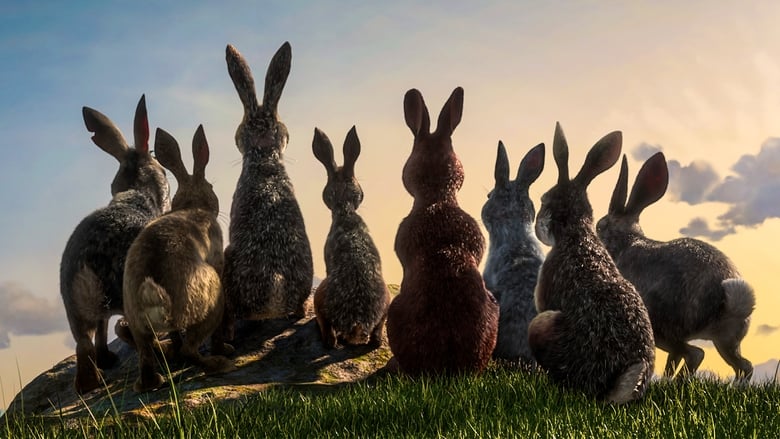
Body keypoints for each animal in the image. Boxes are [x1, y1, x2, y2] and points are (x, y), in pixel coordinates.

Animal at [59, 95, 170, 394]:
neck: (137, 192)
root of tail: (87, 268)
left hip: (74, 308)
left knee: (87, 343)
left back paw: (95, 377)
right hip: (135, 293)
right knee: (139, 338)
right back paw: (153, 380)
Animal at [123, 125, 235, 392]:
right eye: (211, 186)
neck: (192, 206)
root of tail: (152, 297)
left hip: (138, 326)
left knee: (147, 356)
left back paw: (152, 383)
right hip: (210, 299)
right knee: (190, 349)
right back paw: (220, 361)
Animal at [596, 152, 755, 381]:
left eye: (600, 226)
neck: (625, 239)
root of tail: (727, 302)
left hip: (661, 327)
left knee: (695, 354)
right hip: (726, 340)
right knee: (743, 366)